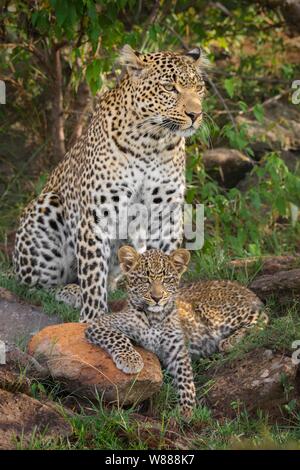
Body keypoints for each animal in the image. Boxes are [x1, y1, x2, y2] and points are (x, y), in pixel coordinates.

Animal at [12, 45, 207, 324]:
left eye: (199, 88)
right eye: (170, 87)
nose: (195, 114)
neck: (152, 142)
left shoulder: (166, 214)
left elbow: (163, 262)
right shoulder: (98, 213)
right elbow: (93, 274)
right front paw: (93, 317)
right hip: (46, 208)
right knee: (39, 288)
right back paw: (72, 293)